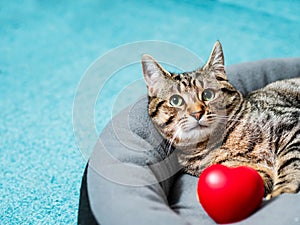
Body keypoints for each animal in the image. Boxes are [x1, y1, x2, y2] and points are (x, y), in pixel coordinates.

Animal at [142, 41, 300, 200]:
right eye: (176, 100)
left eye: (208, 94)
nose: (197, 113)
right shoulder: (253, 170)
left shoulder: (290, 123)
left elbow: (291, 161)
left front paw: (284, 189)